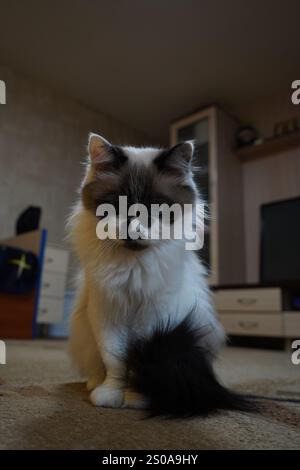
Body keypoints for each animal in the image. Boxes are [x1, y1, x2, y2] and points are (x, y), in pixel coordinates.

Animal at [68, 134, 251, 416]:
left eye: (156, 208)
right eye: (115, 205)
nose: (133, 229)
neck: (133, 267)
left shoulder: (153, 319)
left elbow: (136, 361)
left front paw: (136, 397)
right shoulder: (107, 315)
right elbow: (116, 361)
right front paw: (112, 396)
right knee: (97, 367)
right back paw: (94, 384)